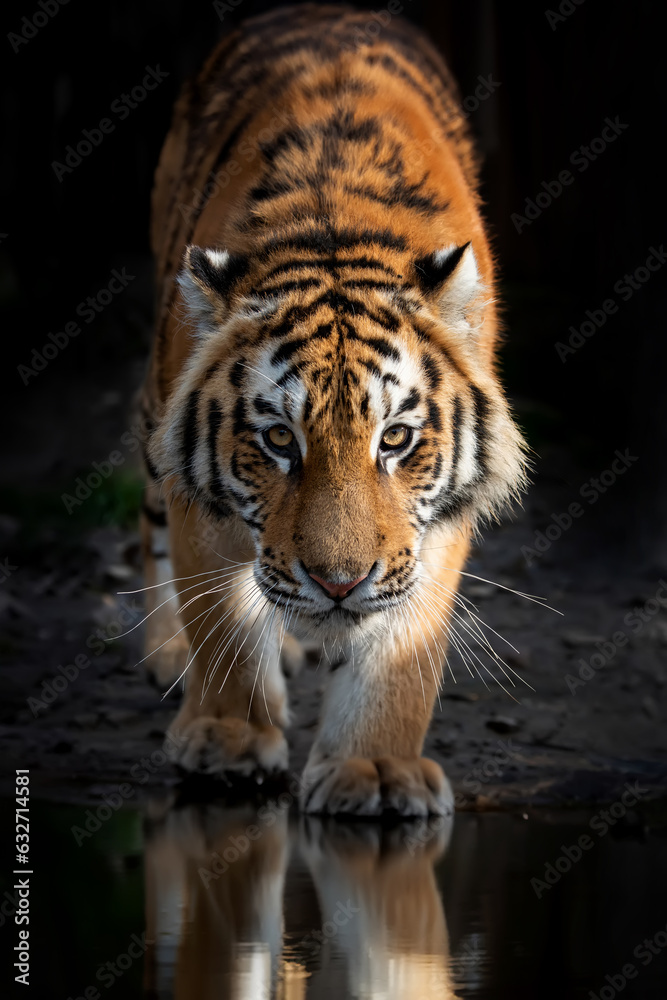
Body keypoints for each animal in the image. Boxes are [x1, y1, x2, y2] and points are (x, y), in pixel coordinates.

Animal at [141, 3, 528, 816]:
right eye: (278, 439)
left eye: (397, 438)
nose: (339, 583)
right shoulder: (200, 498)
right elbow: (219, 619)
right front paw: (227, 739)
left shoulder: (431, 525)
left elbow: (402, 656)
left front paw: (374, 769)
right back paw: (168, 652)